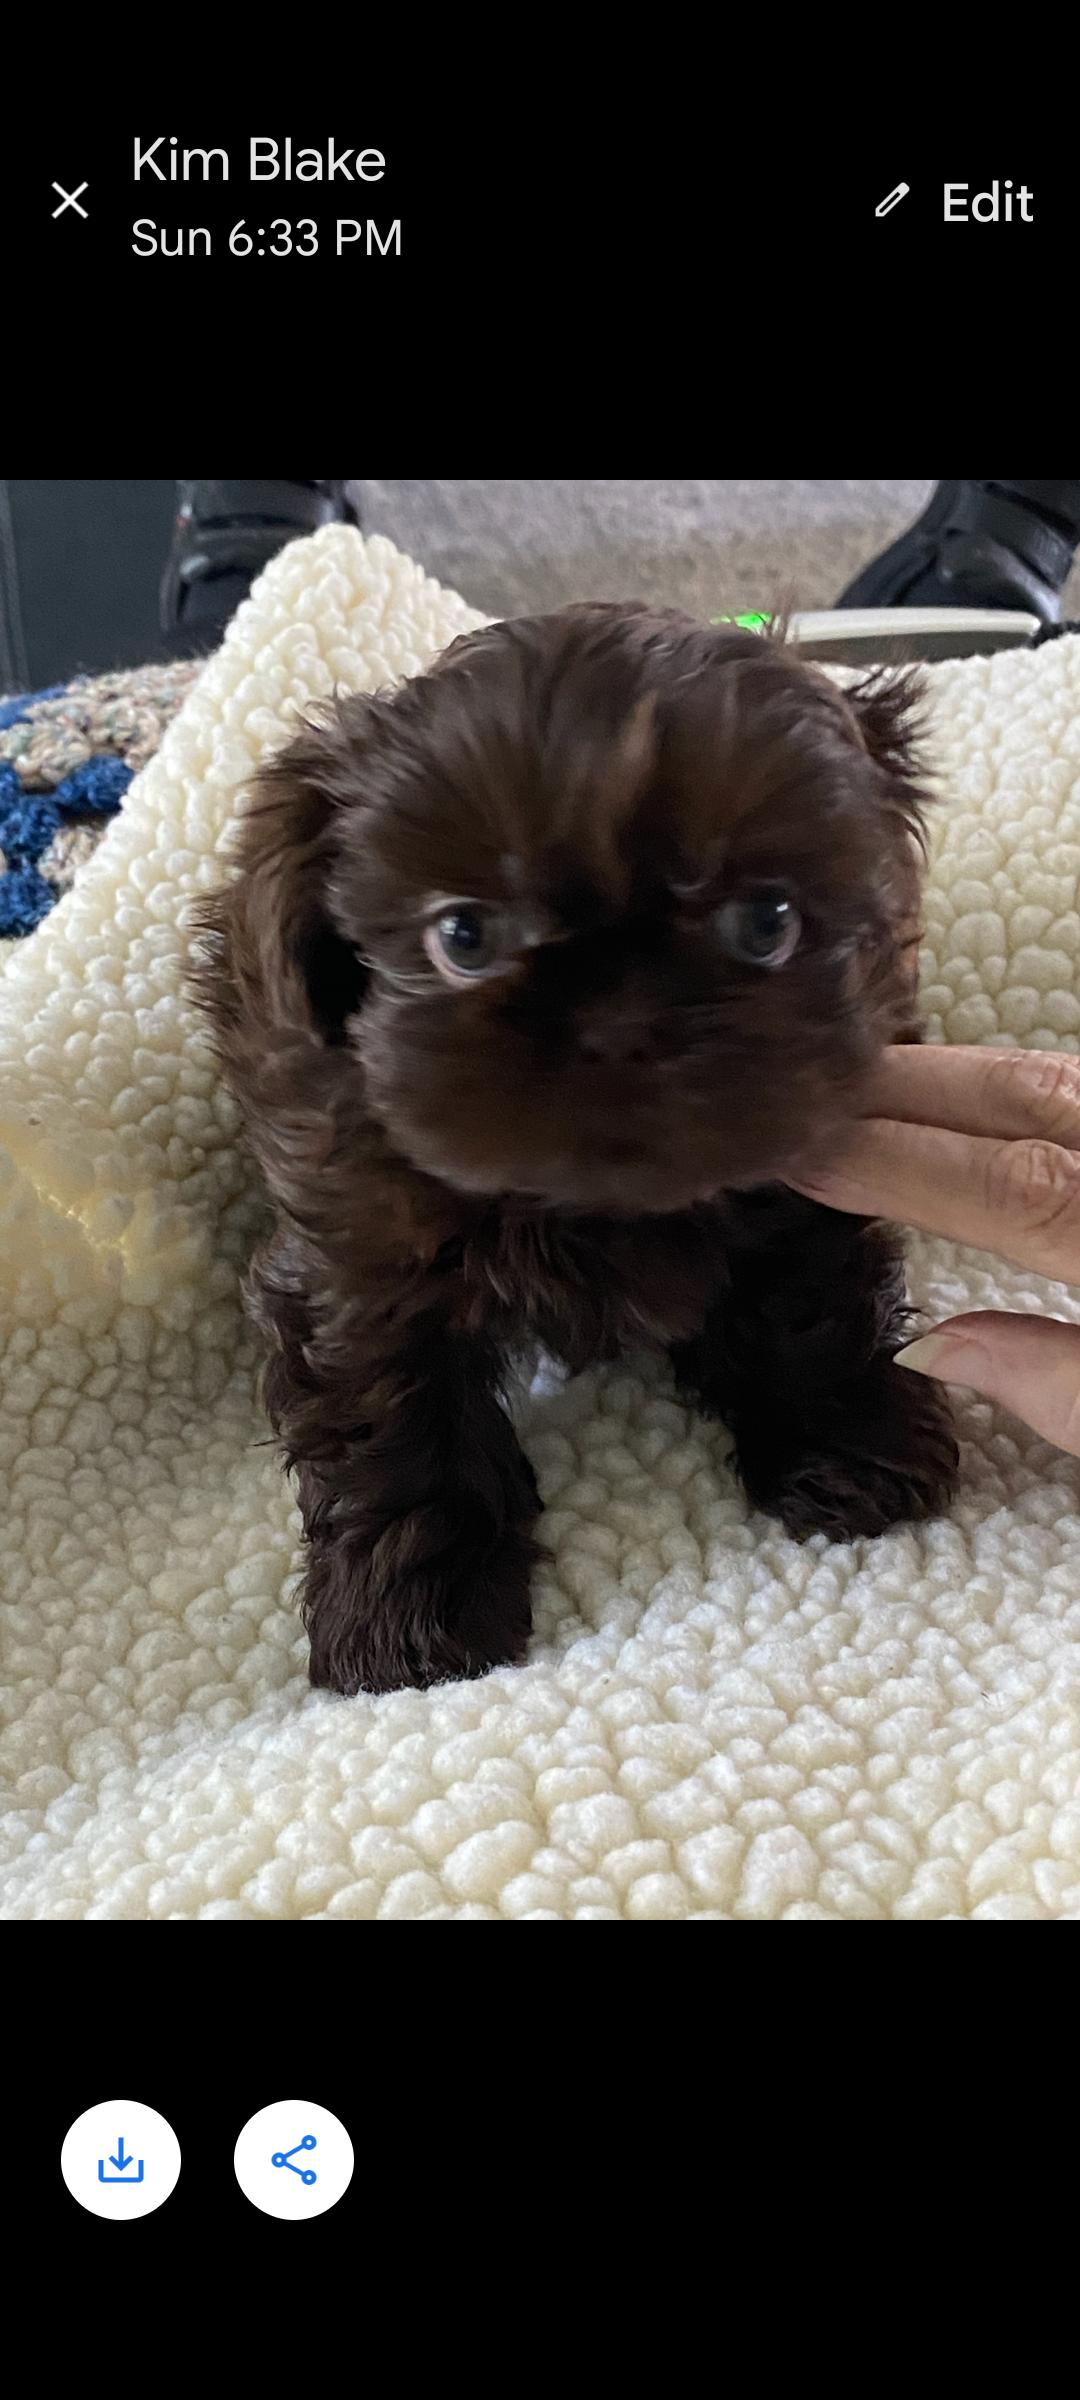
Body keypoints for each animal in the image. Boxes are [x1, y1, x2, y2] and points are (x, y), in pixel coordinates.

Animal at [190, 603, 958, 1694]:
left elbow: (807, 1306)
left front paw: (851, 1439)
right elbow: (391, 1414)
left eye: (765, 922)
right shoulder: (360, 1248)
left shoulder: (811, 1173)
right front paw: (414, 1614)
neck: (594, 1205)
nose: (621, 1019)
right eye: (463, 938)